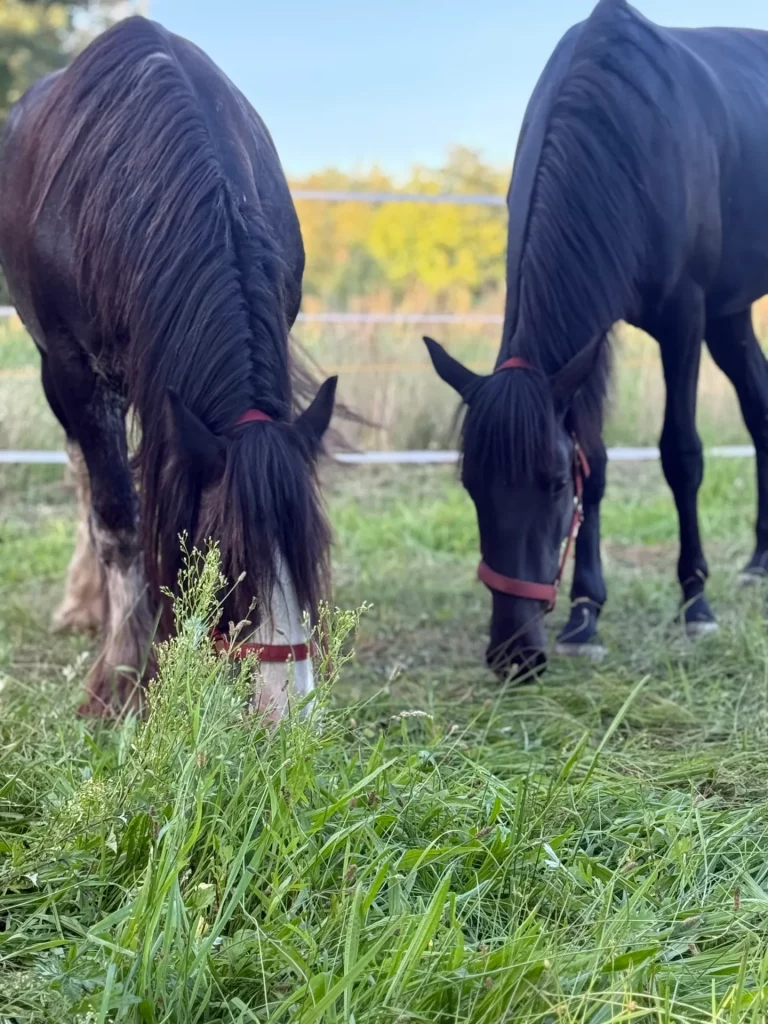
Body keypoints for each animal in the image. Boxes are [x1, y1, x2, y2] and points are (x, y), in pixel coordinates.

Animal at [0, 17, 338, 717]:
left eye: (312, 553)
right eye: (226, 561)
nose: (287, 713)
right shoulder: (74, 373)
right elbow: (118, 522)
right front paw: (123, 678)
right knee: (89, 481)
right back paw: (87, 607)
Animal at [425, 0, 768, 677]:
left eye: (555, 485)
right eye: (471, 484)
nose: (513, 652)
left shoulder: (684, 317)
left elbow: (681, 454)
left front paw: (696, 603)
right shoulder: (594, 333)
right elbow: (599, 459)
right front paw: (585, 613)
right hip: (732, 315)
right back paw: (759, 561)